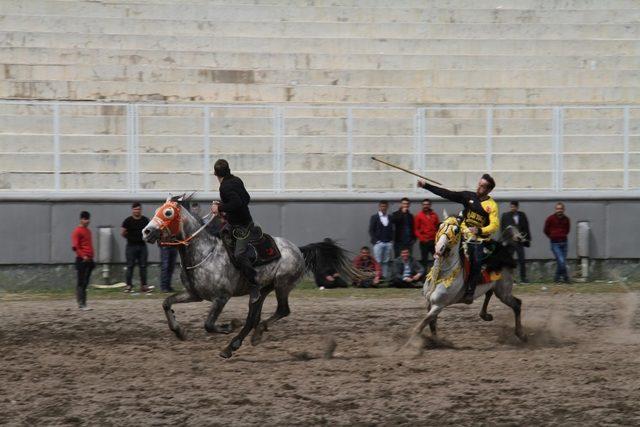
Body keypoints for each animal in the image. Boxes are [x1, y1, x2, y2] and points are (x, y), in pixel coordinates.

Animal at [142, 196, 360, 360]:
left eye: (168, 213)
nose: (146, 231)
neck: (204, 252)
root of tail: (298, 249)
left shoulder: (221, 297)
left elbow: (209, 324)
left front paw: (229, 325)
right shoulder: (193, 294)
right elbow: (166, 303)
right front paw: (179, 331)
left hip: (282, 285)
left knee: (281, 310)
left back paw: (253, 334)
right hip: (262, 290)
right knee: (253, 317)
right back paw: (234, 345)